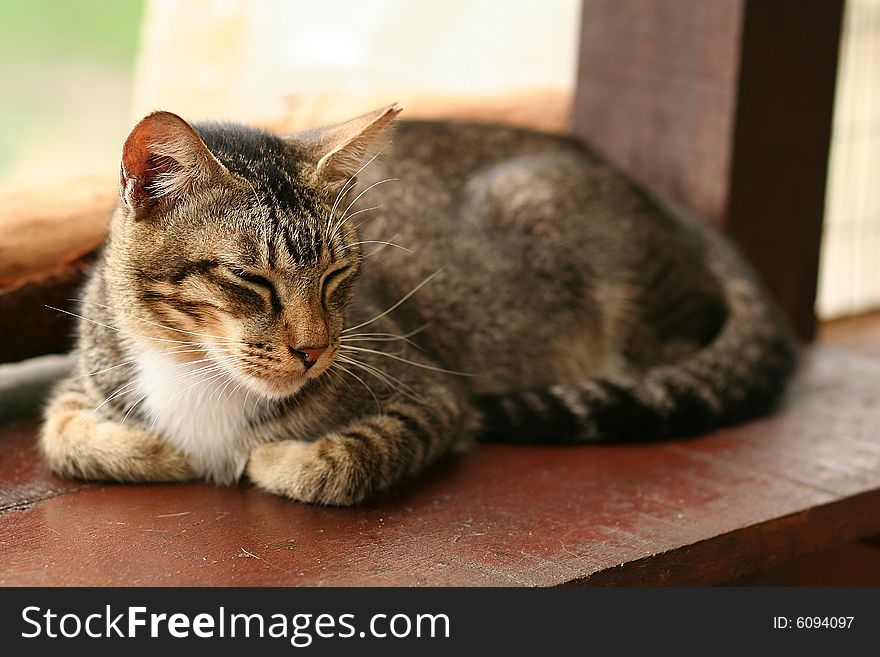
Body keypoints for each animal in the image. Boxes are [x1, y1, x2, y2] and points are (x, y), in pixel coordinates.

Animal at [39, 105, 796, 504]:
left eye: (339, 274)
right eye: (249, 279)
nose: (315, 351)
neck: (201, 374)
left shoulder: (432, 394)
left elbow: (341, 458)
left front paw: (268, 460)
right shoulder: (86, 380)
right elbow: (65, 436)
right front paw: (166, 450)